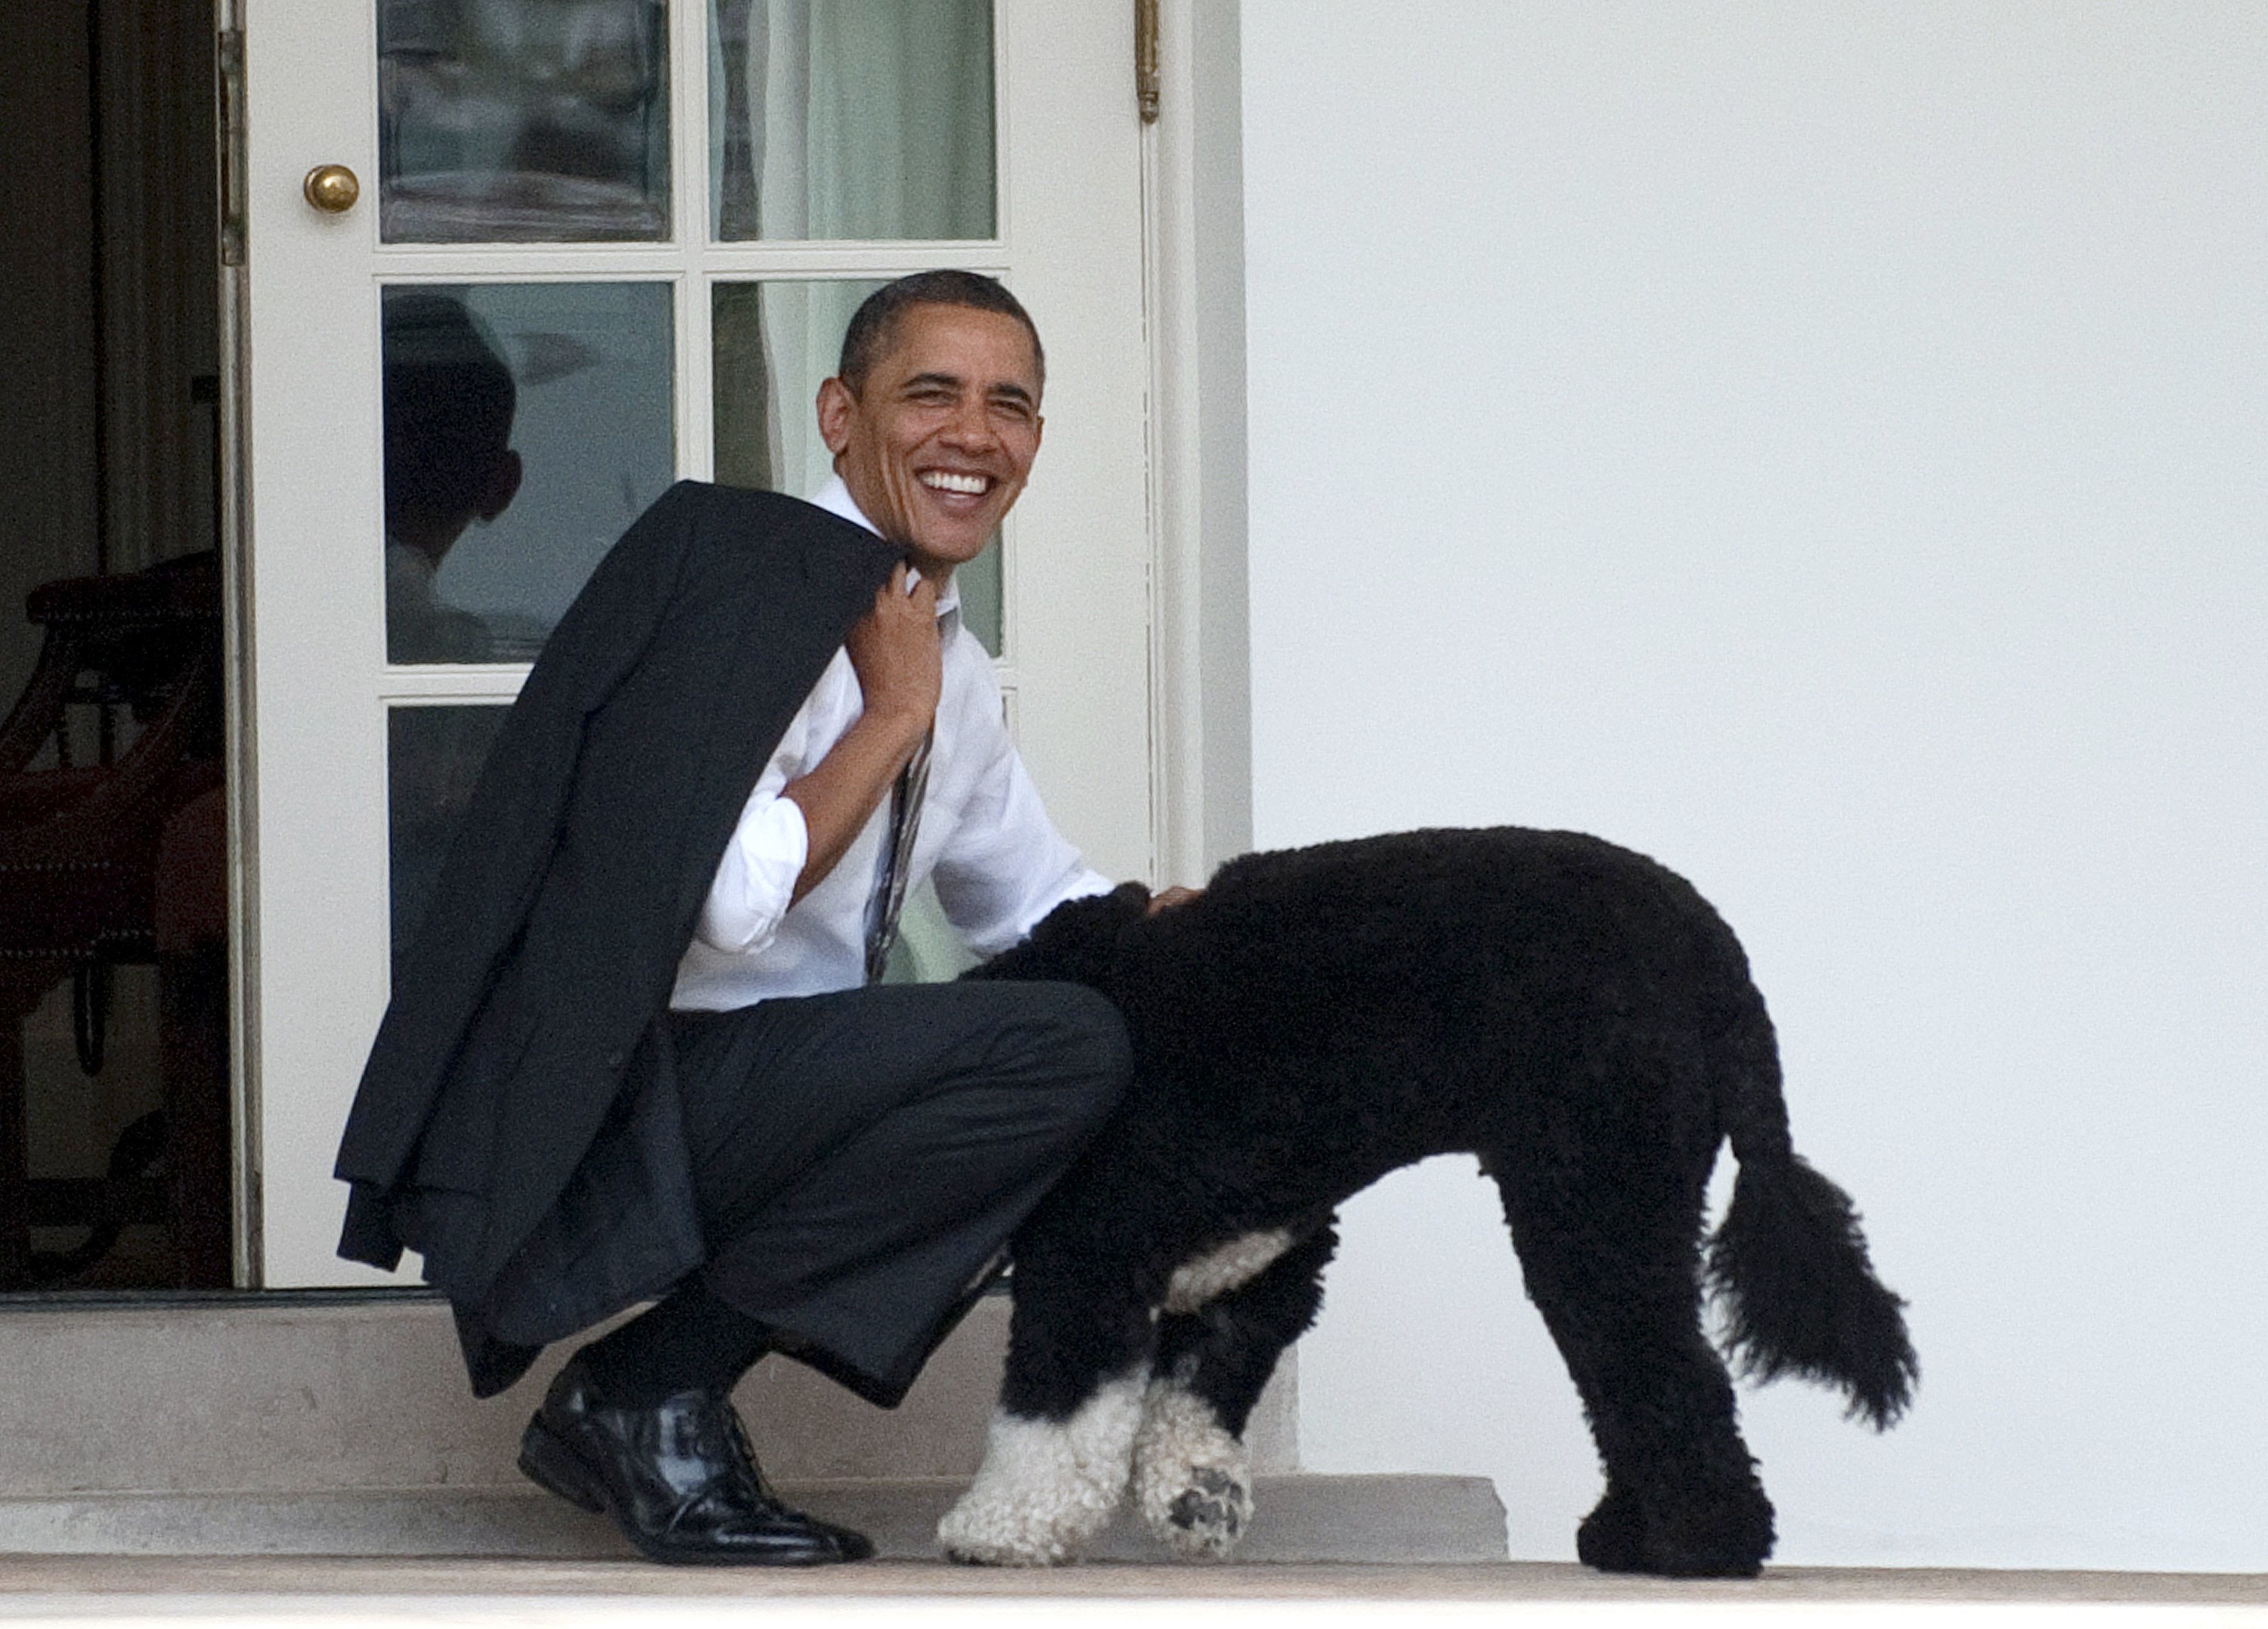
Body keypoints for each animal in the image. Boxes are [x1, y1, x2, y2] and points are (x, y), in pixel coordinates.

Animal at [934, 835, 1914, 1578]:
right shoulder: (1260, 1259)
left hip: (1596, 1192)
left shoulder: (1089, 1248)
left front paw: (1000, 1526)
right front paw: (1197, 1495)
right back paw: (1631, 1537)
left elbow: (1051, 1410)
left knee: (1666, 1370)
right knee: (1627, 1380)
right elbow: (1198, 1382)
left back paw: (1703, 1545)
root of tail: (1711, 953)